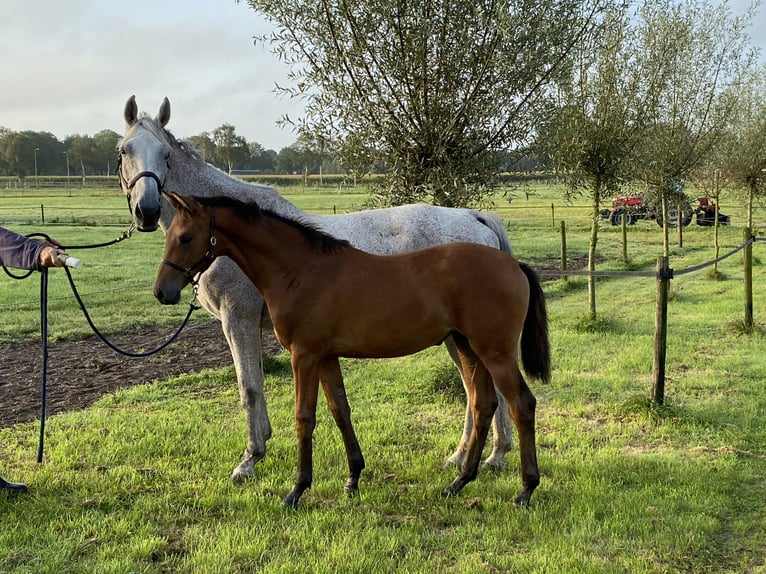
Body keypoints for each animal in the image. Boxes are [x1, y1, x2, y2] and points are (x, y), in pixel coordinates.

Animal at [118, 97, 516, 484]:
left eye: (165, 155)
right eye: (125, 150)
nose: (147, 210)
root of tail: (472, 217)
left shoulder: (238, 319)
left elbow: (249, 389)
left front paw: (248, 460)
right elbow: (257, 385)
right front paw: (261, 446)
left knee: (489, 388)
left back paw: (495, 455)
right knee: (473, 388)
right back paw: (462, 456)